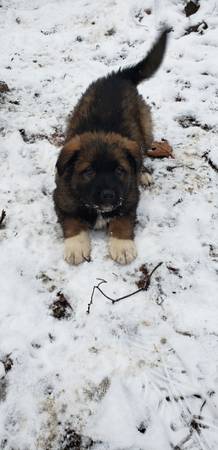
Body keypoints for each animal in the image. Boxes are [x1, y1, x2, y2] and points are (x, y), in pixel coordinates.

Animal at [53, 29, 169, 264]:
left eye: (119, 171)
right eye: (88, 172)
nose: (107, 195)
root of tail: (118, 76)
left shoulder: (130, 197)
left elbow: (122, 220)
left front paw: (122, 246)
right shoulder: (60, 198)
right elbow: (72, 221)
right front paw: (76, 246)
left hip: (146, 129)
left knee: (142, 153)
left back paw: (143, 173)